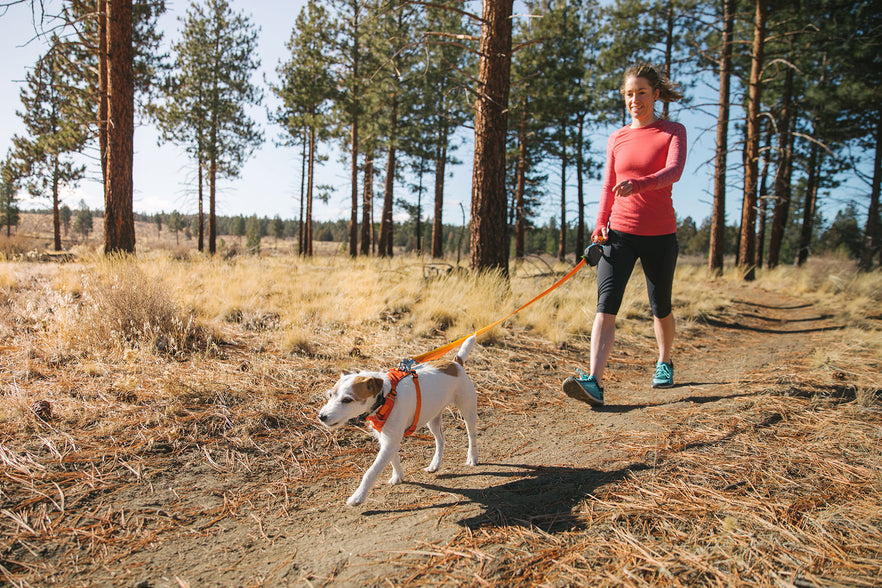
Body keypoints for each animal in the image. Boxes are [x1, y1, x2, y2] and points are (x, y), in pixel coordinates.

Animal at [318, 336, 478, 506]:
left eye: (347, 400)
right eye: (330, 395)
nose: (321, 416)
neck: (385, 397)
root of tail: (456, 363)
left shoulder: (390, 441)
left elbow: (371, 472)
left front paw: (357, 496)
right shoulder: (387, 439)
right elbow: (393, 459)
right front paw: (398, 477)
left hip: (467, 410)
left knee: (471, 434)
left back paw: (472, 457)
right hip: (432, 417)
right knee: (440, 440)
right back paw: (435, 464)